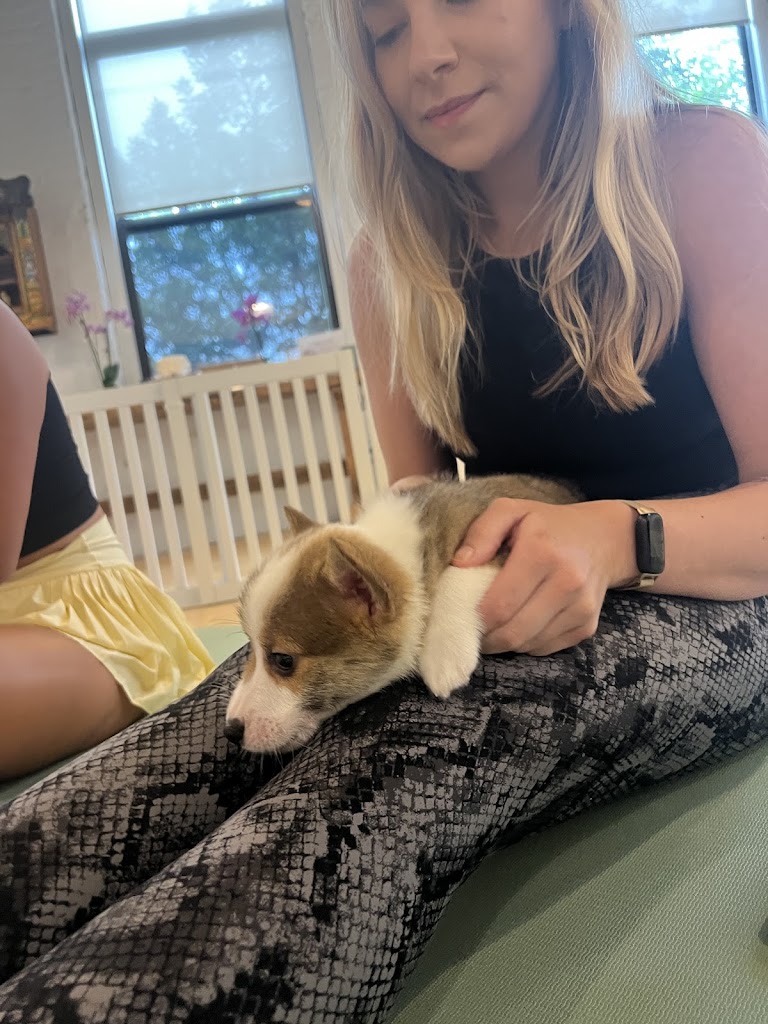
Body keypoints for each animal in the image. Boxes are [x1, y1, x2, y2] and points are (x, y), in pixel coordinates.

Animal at [224, 474, 580, 754]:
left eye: (284, 660)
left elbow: (458, 570)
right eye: (252, 646)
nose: (230, 731)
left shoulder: (500, 543)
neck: (408, 557)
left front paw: (444, 655)